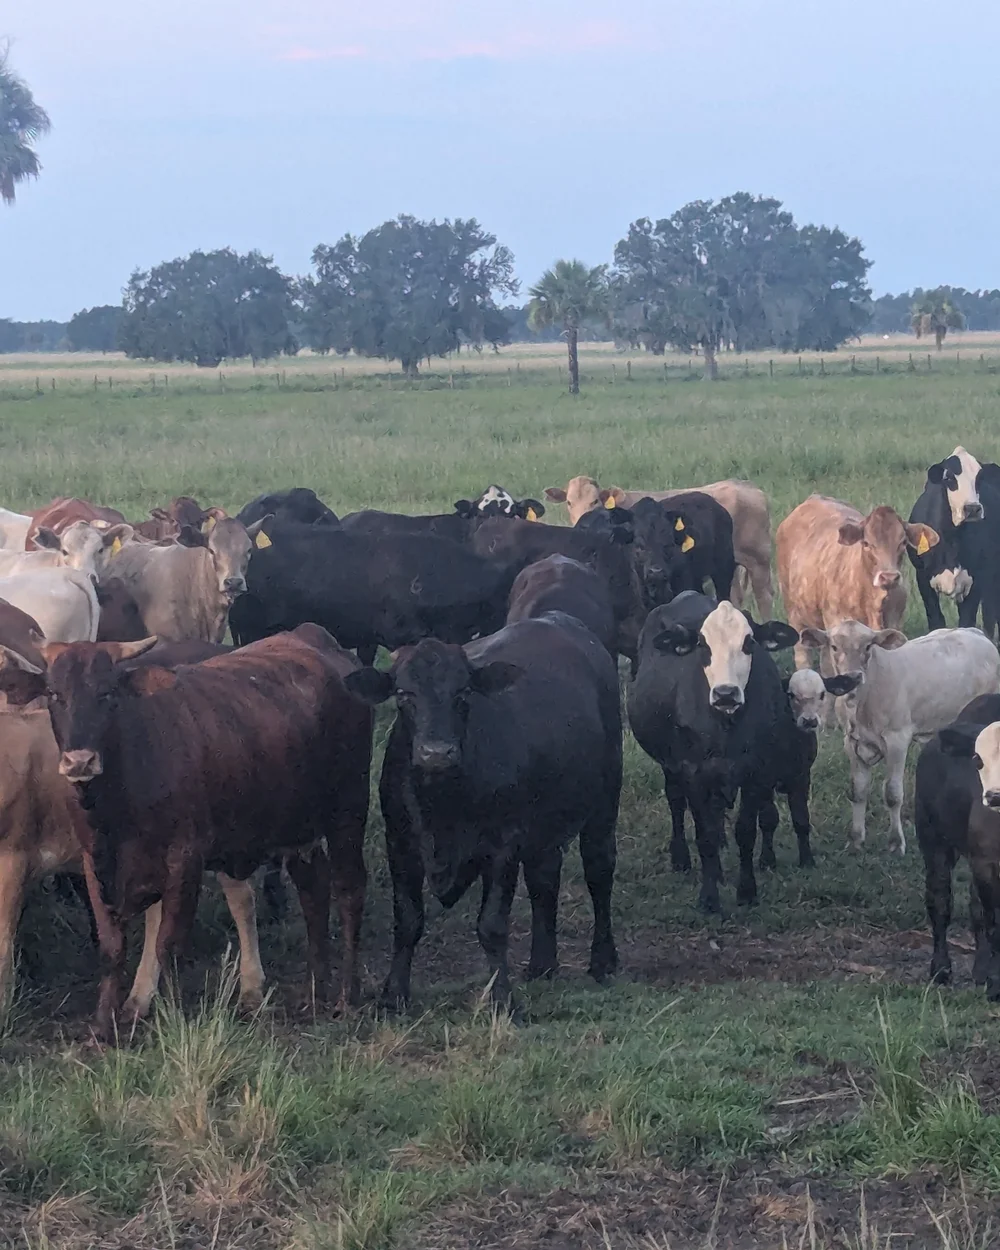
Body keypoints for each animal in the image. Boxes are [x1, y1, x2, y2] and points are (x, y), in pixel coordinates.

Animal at [20, 625, 372, 1039]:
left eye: (107, 693)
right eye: (54, 694)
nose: (80, 762)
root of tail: (313, 637)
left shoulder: (184, 860)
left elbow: (167, 944)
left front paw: (171, 1017)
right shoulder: (95, 862)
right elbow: (112, 946)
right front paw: (103, 1025)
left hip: (349, 810)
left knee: (349, 891)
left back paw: (346, 996)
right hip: (297, 828)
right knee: (313, 891)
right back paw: (313, 991)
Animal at [344, 616, 622, 1013]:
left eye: (463, 693)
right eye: (403, 694)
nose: (436, 752)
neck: (442, 807)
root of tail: (559, 619)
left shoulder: (502, 846)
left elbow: (491, 926)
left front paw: (502, 998)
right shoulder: (399, 842)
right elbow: (408, 920)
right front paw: (393, 994)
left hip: (604, 803)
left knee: (599, 871)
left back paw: (602, 960)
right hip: (544, 828)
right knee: (544, 879)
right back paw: (542, 964)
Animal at [627, 593, 799, 913]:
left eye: (749, 642)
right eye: (703, 644)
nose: (725, 694)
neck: (725, 725)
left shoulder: (755, 770)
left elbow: (745, 831)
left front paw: (747, 891)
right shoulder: (693, 771)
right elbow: (703, 834)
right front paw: (709, 899)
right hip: (672, 767)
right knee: (676, 802)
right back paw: (682, 858)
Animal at [799, 621, 1000, 854]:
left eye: (868, 646)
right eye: (833, 646)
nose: (853, 677)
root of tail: (975, 632)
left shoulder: (897, 740)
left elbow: (893, 794)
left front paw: (895, 842)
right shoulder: (851, 742)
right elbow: (857, 790)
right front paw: (856, 839)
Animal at [915, 693, 1000, 998]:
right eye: (978, 760)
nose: (994, 796)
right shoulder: (986, 862)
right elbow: (994, 921)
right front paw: (996, 985)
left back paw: (980, 970)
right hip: (932, 838)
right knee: (940, 899)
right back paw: (940, 969)